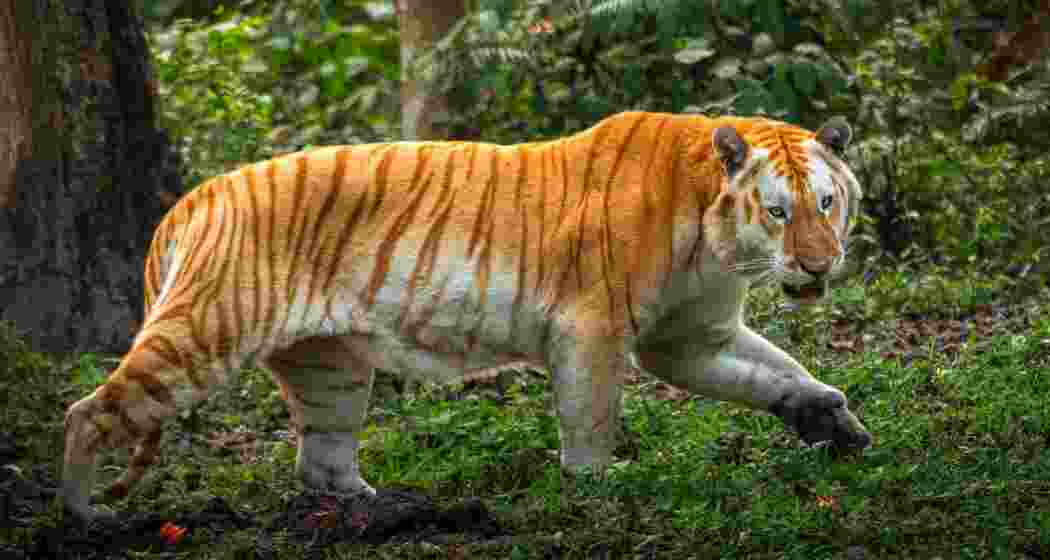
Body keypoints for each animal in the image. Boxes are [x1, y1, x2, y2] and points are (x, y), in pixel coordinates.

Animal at [63, 111, 871, 522]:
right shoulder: (593, 331)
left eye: (827, 203)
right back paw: (81, 517)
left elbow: (779, 372)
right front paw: (596, 493)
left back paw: (381, 511)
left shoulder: (691, 338)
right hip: (201, 335)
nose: (818, 264)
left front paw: (834, 422)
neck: (716, 241)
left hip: (330, 366)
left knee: (321, 460)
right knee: (88, 413)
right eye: (778, 212)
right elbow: (591, 421)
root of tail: (195, 198)